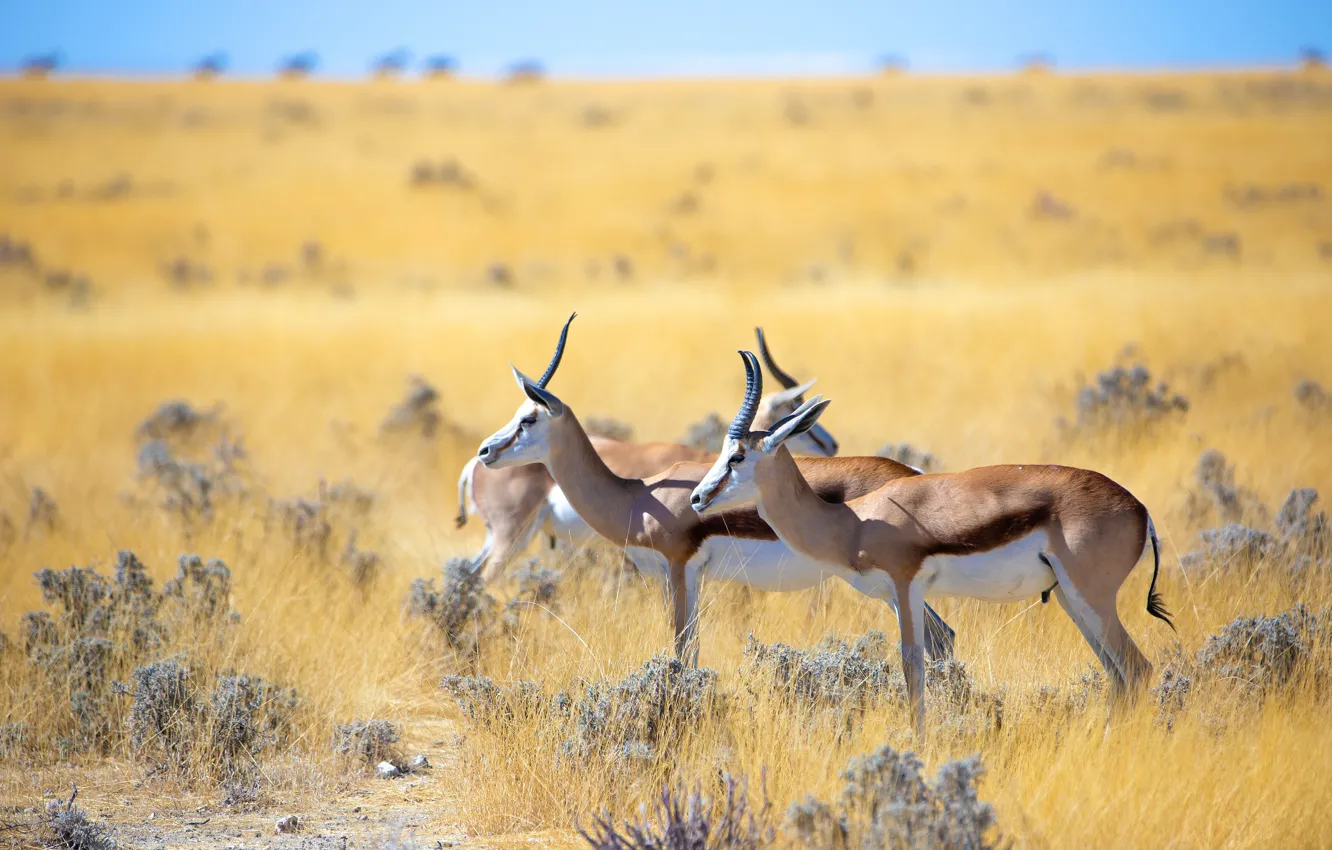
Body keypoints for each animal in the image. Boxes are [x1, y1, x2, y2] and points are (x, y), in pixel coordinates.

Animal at [690, 351, 1175, 737]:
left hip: (1091, 598)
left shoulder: (906, 587)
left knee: (1137, 669)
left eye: (737, 456)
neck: (854, 521)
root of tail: (1141, 510)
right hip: (1072, 600)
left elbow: (912, 665)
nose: (697, 498)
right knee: (1119, 675)